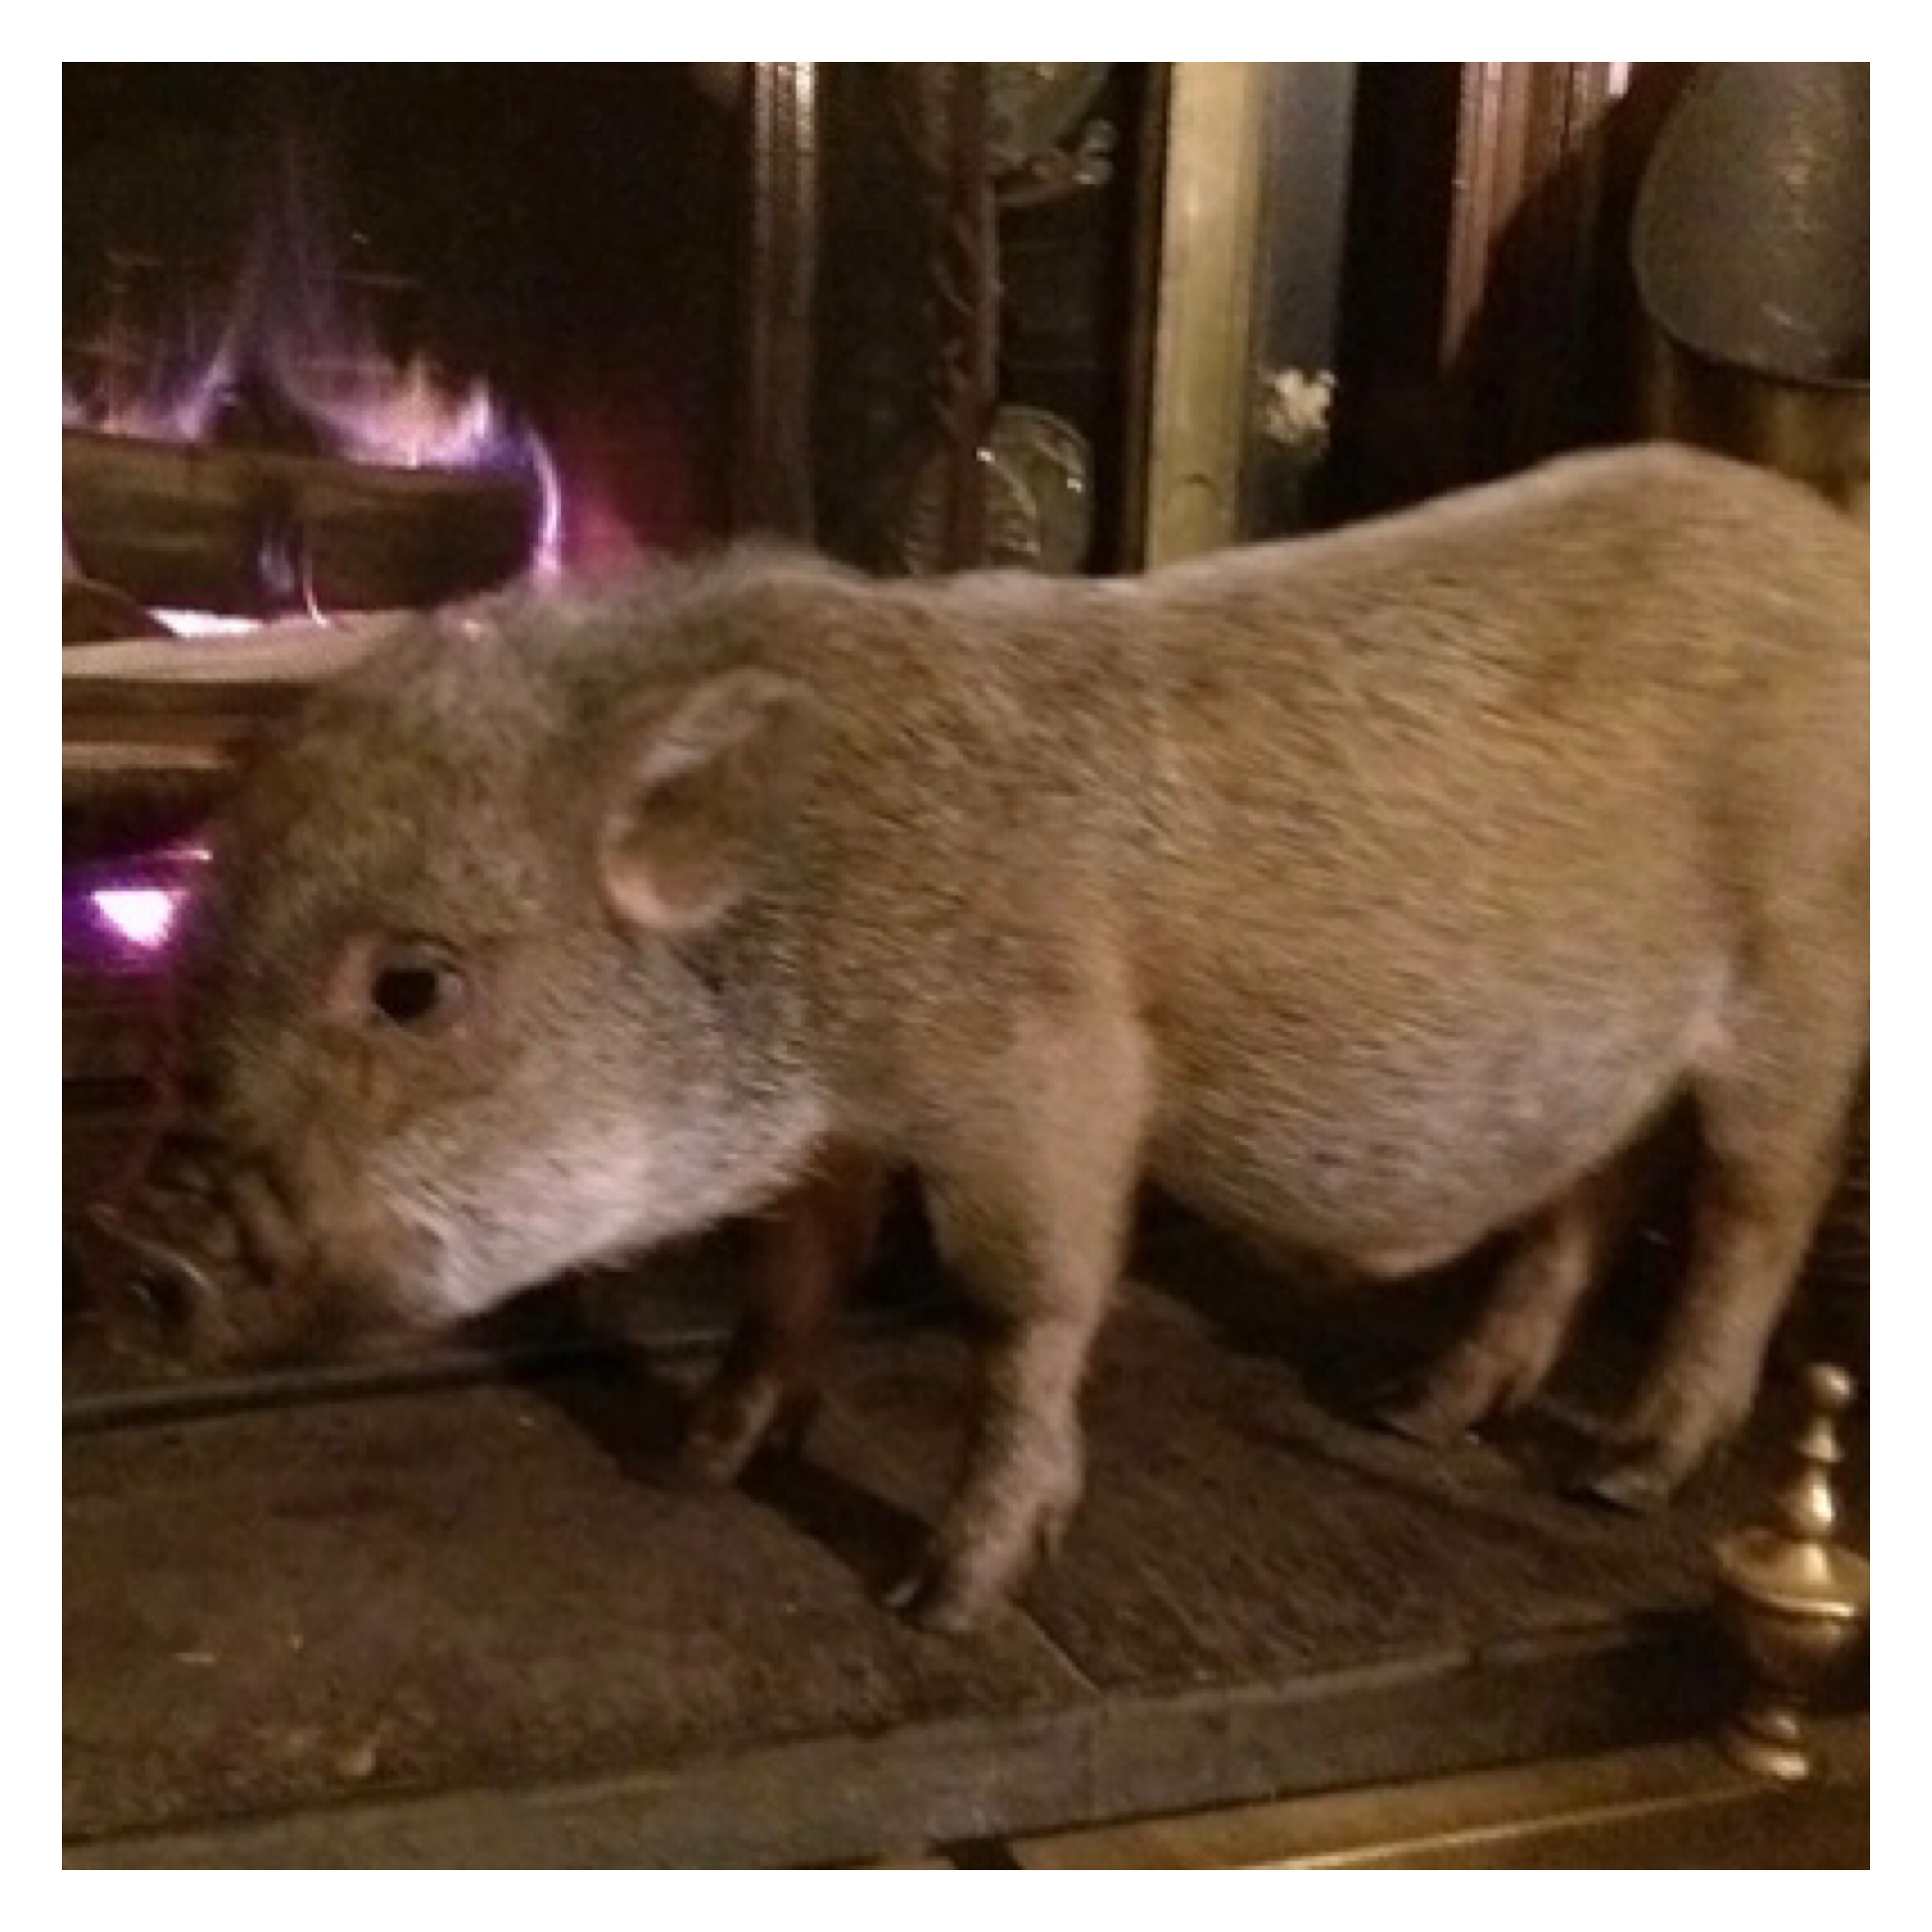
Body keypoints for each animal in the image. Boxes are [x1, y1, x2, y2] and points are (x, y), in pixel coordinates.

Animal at [89, 444, 1868, 1633]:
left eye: (414, 986)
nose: (143, 1249)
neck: (820, 903)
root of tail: (1836, 546)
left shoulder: (1043, 1072)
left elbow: (1025, 1304)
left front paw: (934, 1598)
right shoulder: (834, 1126)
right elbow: (791, 1268)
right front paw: (694, 1461)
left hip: (1805, 973)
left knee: (1753, 1207)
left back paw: (1621, 1474)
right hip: (1625, 1046)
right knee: (1591, 1194)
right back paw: (1419, 1413)